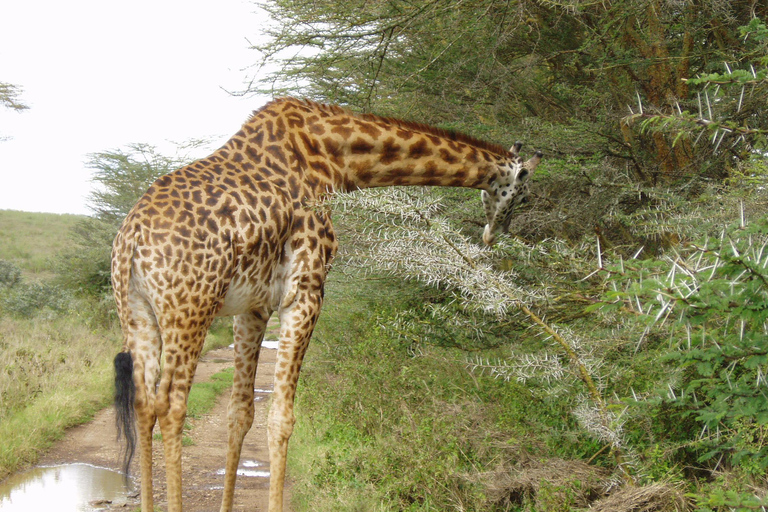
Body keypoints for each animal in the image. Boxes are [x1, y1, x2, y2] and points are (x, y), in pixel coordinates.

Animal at [112, 96, 540, 512]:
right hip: (189, 310)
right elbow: (281, 419)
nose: (495, 234)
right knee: (171, 406)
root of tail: (131, 238)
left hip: (136, 312)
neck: (337, 157)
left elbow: (241, 413)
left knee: (144, 403)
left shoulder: (253, 307)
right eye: (522, 193)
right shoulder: (306, 291)